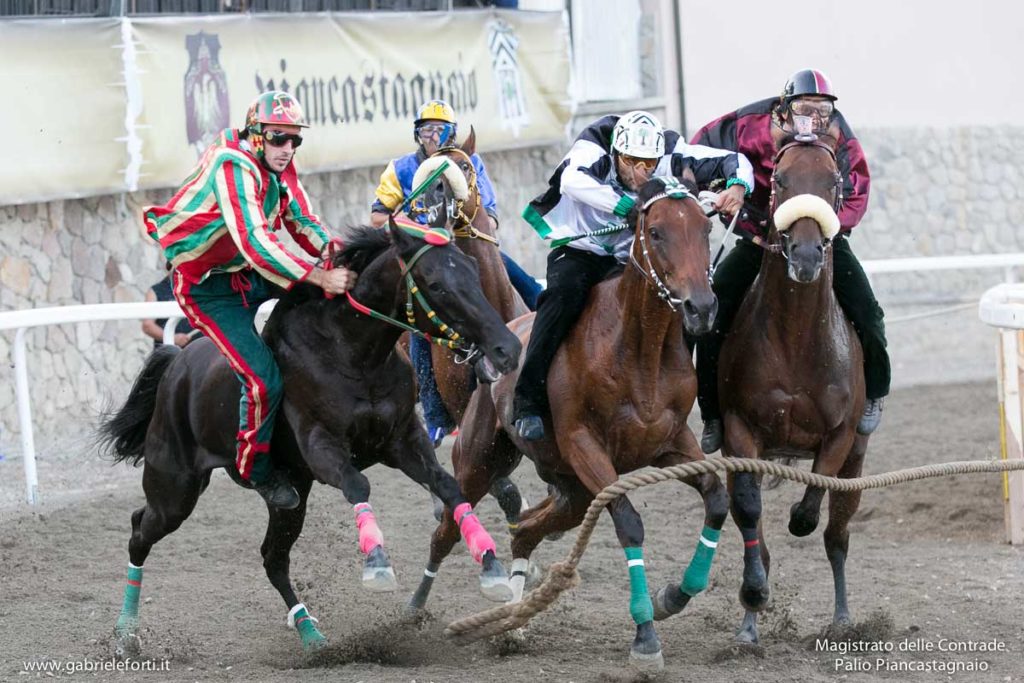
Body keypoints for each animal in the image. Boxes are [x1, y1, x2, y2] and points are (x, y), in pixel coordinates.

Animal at [99, 218, 524, 651]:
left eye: (473, 271)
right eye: (436, 284)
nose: (506, 348)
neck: (352, 354)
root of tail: (177, 364)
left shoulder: (403, 441)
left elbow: (449, 486)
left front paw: (491, 567)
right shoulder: (321, 446)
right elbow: (358, 484)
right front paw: (377, 564)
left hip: (291, 496)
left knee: (273, 558)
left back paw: (309, 631)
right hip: (175, 487)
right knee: (140, 529)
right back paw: (125, 630)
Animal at [716, 132, 868, 647]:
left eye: (835, 181)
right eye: (780, 179)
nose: (804, 256)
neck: (797, 337)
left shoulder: (840, 436)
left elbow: (810, 511)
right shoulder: (740, 431)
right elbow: (748, 513)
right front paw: (753, 596)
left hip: (858, 458)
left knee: (837, 536)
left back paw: (843, 618)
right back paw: (748, 626)